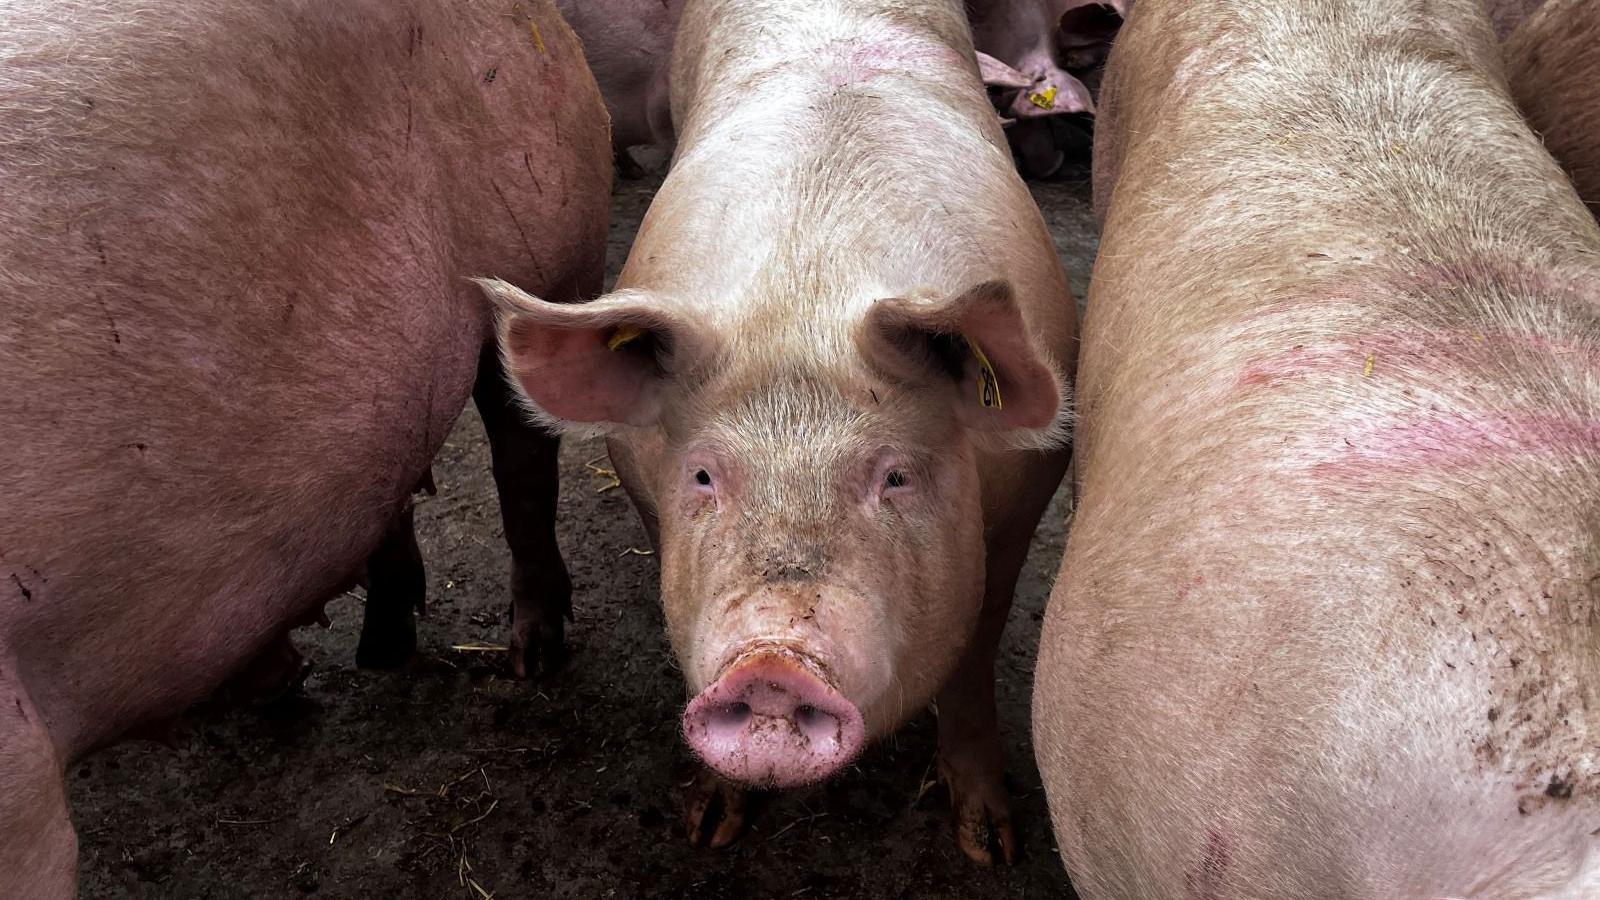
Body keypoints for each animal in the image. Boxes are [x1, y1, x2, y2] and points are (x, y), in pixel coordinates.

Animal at [484, 0, 1077, 865]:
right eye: (703, 475)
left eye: (895, 476)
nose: (772, 664)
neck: (806, 299)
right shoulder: (642, 483)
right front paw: (708, 828)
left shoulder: (1025, 501)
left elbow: (975, 654)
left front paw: (991, 847)